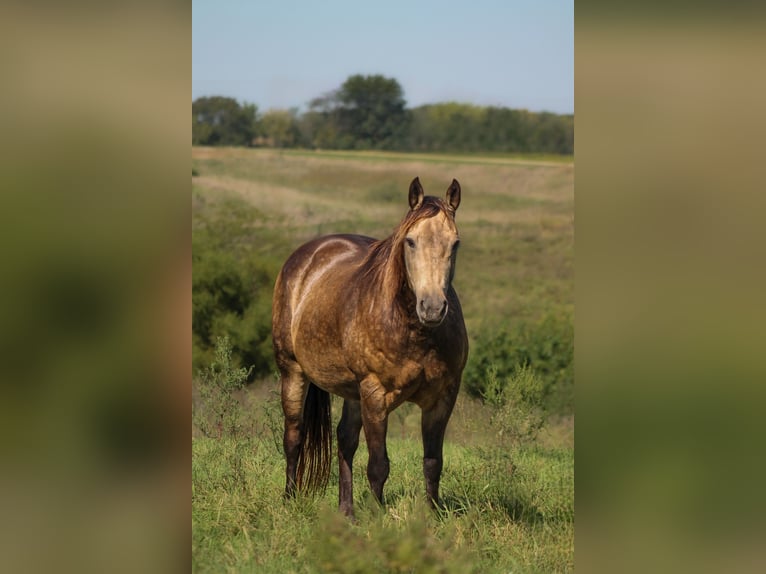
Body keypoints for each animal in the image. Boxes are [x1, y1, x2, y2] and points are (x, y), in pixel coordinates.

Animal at [271, 177, 468, 518]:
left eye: (454, 243)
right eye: (410, 242)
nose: (432, 307)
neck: (414, 331)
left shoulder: (442, 398)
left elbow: (433, 462)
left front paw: (431, 516)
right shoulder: (376, 394)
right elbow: (378, 465)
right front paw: (377, 518)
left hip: (353, 391)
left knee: (344, 441)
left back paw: (346, 511)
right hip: (293, 372)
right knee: (293, 436)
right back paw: (290, 500)